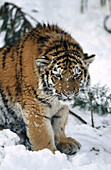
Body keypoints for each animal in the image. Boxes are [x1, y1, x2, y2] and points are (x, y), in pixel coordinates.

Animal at [0, 23, 95, 155]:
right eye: (58, 75)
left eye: (76, 75)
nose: (68, 94)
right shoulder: (34, 106)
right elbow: (42, 133)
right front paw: (51, 153)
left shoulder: (61, 107)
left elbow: (59, 123)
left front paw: (65, 142)